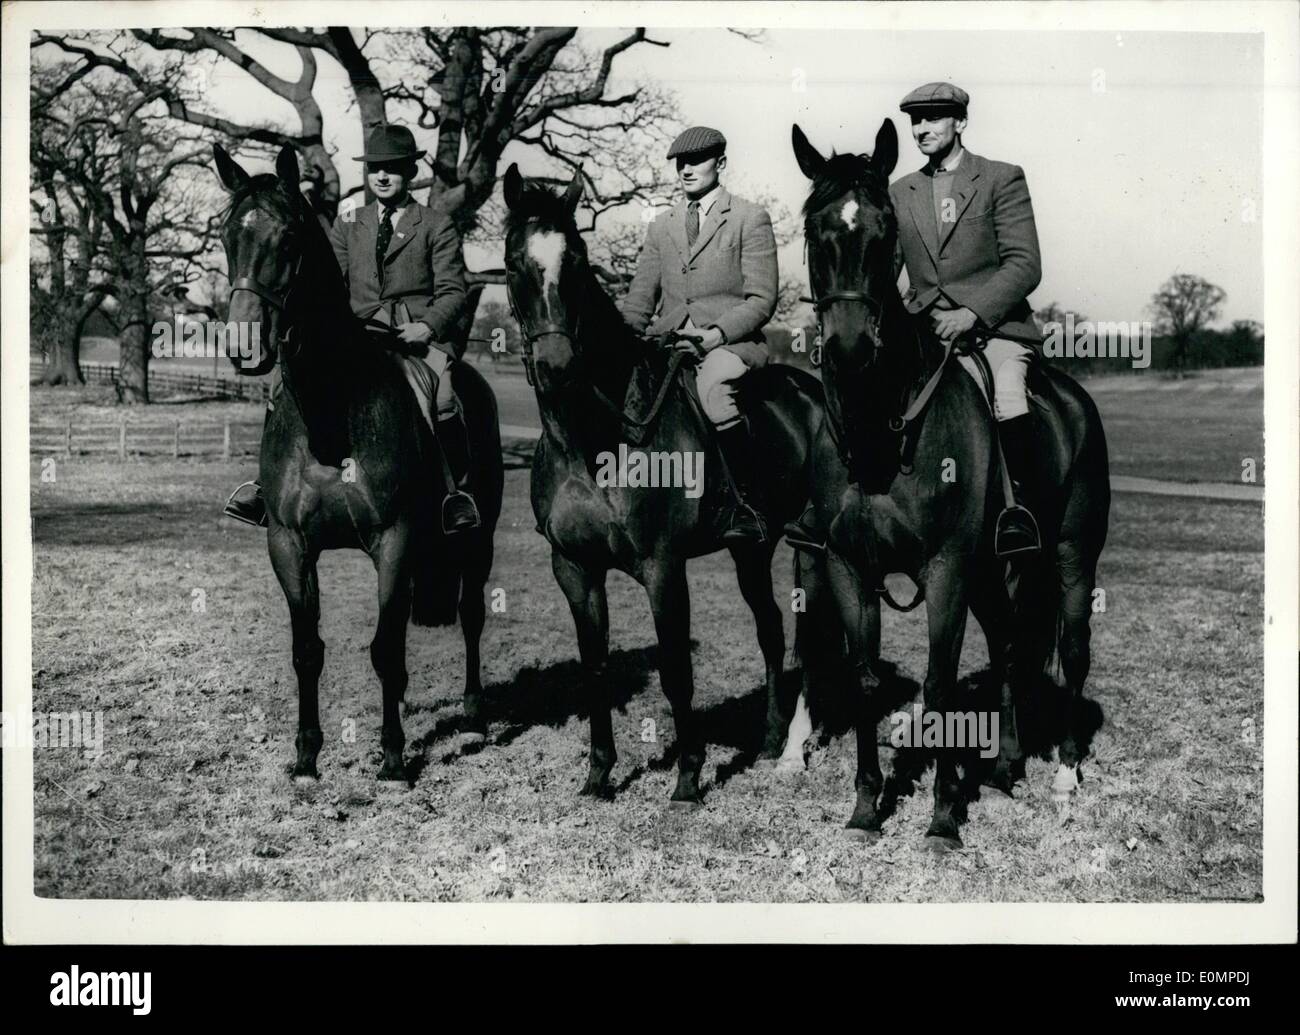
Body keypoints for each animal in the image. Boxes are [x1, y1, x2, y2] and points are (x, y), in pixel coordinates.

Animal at [213, 141, 501, 780]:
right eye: (225, 235)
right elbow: (307, 650)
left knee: (472, 615)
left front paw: (392, 757)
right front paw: (305, 756)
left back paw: (474, 712)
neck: (332, 408)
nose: (245, 345)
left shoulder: (394, 539)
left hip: (477, 538)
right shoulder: (289, 544)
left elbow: (386, 646)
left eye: (290, 238)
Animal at [501, 163, 847, 806]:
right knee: (769, 630)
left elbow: (674, 670)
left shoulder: (663, 566)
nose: (558, 368)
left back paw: (791, 750)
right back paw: (767, 740)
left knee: (807, 636)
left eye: (577, 260)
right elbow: (594, 666)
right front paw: (598, 776)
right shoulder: (574, 568)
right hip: (751, 549)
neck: (593, 440)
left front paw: (687, 777)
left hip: (811, 548)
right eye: (513, 262)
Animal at [785, 123, 1112, 847]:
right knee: (1012, 648)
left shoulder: (946, 568)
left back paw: (1064, 774)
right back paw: (1005, 764)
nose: (850, 348)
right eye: (815, 229)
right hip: (993, 575)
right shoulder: (851, 568)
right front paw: (865, 807)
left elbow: (938, 685)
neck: (882, 432)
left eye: (885, 233)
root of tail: (1072, 396)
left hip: (1071, 555)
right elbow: (864, 682)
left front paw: (939, 818)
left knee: (1073, 650)